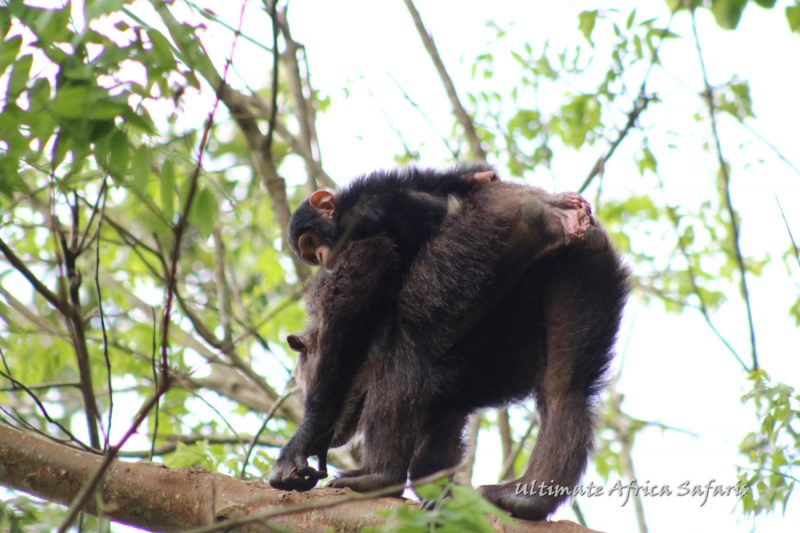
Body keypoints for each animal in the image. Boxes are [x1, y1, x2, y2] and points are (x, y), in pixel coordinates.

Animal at [272, 169, 628, 520]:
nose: (319, 257)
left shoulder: (357, 229)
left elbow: (365, 273)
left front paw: (306, 437)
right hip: (587, 267)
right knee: (565, 392)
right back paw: (525, 498)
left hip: (479, 238)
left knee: (409, 339)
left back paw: (378, 475)